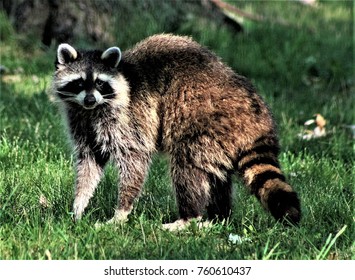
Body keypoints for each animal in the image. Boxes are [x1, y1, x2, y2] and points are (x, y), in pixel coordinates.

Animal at [51, 34, 302, 230]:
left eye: (100, 83)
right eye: (79, 82)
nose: (90, 99)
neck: (91, 110)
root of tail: (255, 113)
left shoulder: (129, 120)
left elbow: (135, 160)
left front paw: (121, 211)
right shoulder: (81, 122)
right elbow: (89, 161)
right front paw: (79, 204)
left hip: (206, 121)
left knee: (186, 166)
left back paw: (189, 217)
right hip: (221, 138)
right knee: (216, 176)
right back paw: (219, 217)